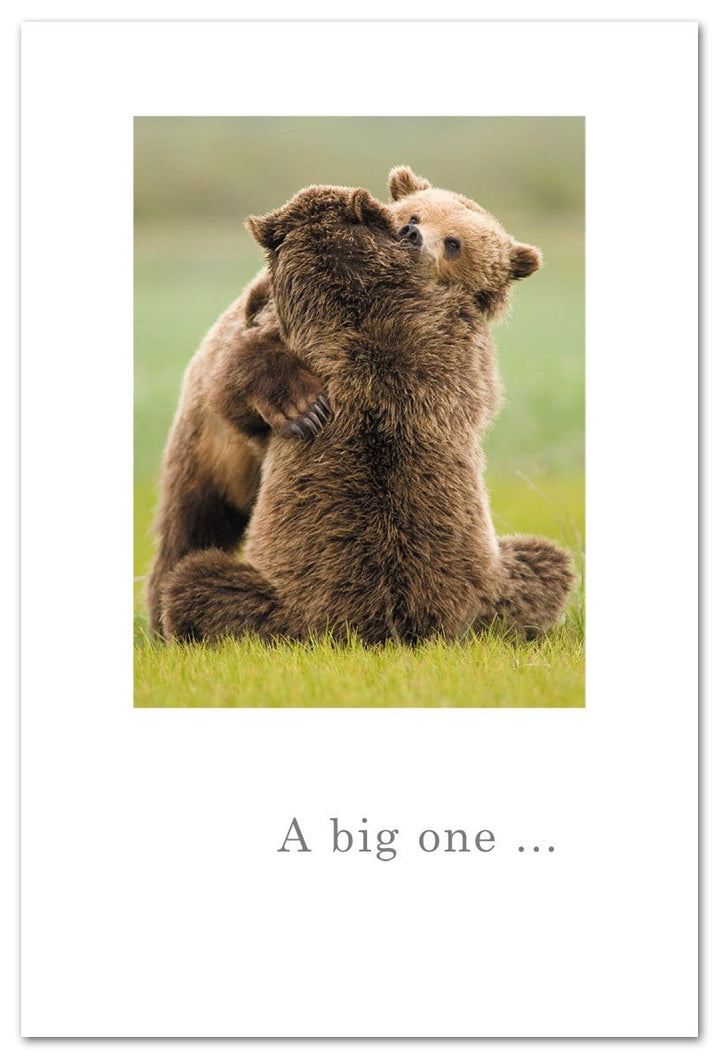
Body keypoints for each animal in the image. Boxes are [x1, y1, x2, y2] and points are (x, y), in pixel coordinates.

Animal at [157, 183, 574, 645]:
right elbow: (238, 376)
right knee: (190, 527)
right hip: (208, 448)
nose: (413, 234)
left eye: (454, 244)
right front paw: (301, 407)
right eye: (414, 215)